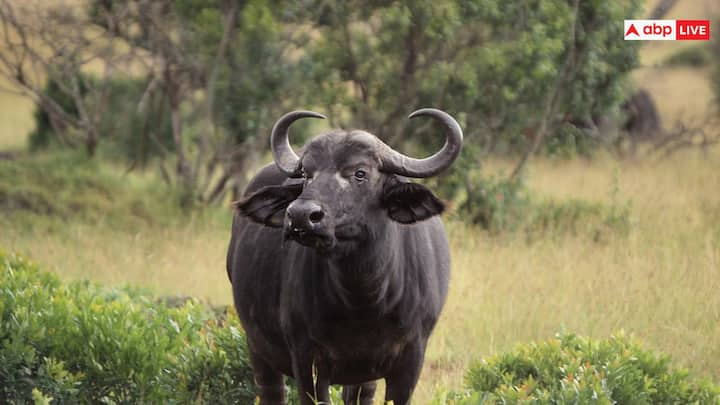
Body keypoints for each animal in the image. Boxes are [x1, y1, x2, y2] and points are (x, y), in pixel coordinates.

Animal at [231, 108, 464, 404]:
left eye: (360, 173)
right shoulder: (307, 360)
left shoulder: (410, 360)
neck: (364, 301)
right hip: (258, 350)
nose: (300, 215)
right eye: (306, 174)